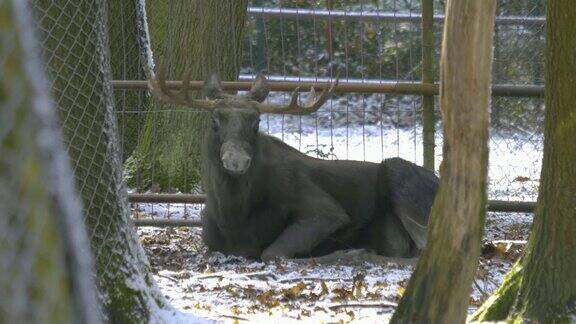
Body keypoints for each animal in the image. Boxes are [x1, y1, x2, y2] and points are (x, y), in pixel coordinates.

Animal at [147, 70, 436, 260]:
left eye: (256, 122)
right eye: (214, 121)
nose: (236, 160)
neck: (232, 215)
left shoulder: (325, 212)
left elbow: (272, 252)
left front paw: (350, 253)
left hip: (398, 170)